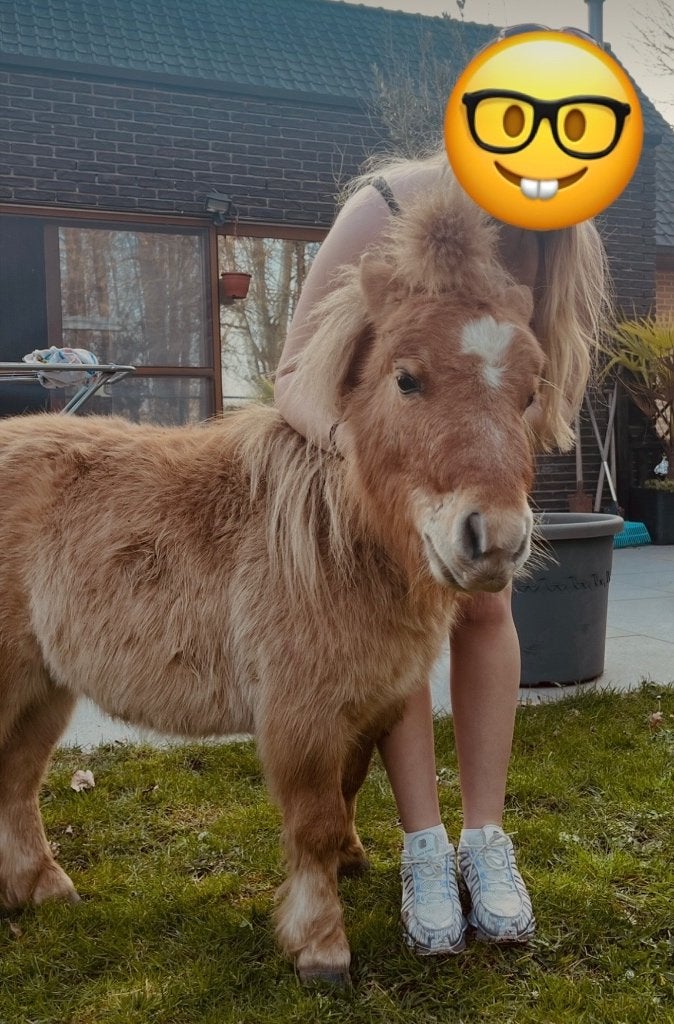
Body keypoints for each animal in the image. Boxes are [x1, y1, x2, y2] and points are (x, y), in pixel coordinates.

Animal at [0, 186, 544, 986]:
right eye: (407, 379)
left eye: (532, 394)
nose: (495, 540)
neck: (331, 540)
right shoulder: (300, 715)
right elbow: (312, 823)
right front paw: (321, 946)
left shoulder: (367, 704)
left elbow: (348, 792)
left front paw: (352, 861)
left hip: (44, 687)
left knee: (18, 778)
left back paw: (42, 887)